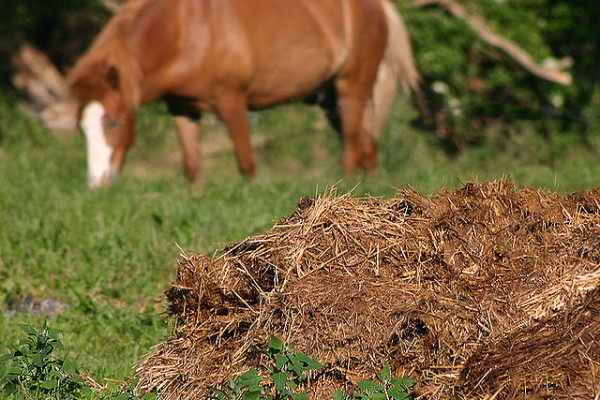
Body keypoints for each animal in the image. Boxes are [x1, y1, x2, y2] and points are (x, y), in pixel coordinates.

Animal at [68, 0, 420, 188]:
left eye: (113, 122)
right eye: (82, 128)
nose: (97, 183)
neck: (186, 30)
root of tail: (378, 7)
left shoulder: (232, 101)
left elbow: (247, 162)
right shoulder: (183, 108)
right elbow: (192, 165)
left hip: (351, 88)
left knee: (351, 149)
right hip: (330, 99)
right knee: (366, 145)